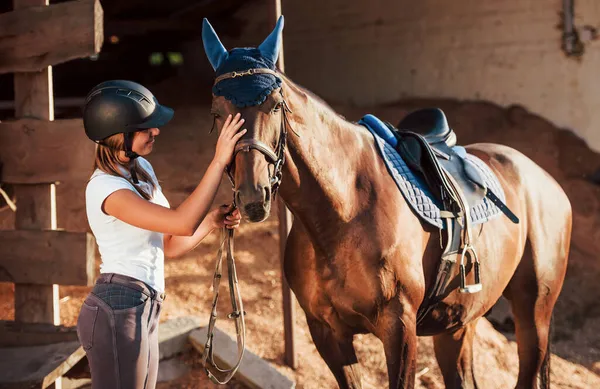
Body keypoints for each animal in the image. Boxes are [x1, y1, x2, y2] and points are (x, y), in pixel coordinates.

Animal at [203, 16, 572, 386]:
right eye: (217, 112)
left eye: (276, 104)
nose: (253, 195)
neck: (341, 212)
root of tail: (549, 183)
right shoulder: (326, 330)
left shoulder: (399, 329)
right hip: (457, 325)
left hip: (534, 314)